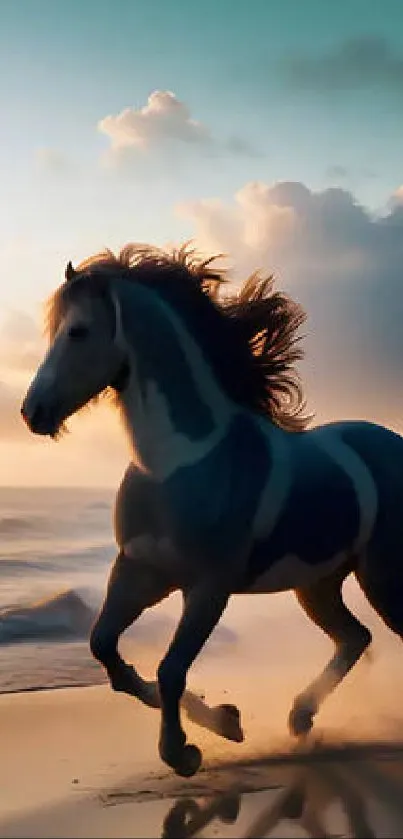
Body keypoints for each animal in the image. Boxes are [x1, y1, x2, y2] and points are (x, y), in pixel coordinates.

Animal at [20, 244, 403, 780]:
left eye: (77, 331)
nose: (32, 412)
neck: (175, 463)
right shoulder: (140, 570)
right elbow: (107, 650)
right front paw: (225, 720)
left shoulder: (208, 587)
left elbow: (171, 668)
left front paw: (185, 750)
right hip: (319, 583)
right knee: (354, 637)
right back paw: (300, 718)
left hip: (383, 577)